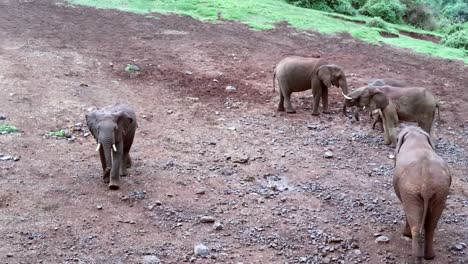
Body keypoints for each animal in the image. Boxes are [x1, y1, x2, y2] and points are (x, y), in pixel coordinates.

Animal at [394, 126, 452, 264]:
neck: (416, 135)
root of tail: (427, 186)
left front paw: (405, 234)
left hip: (411, 191)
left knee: (416, 225)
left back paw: (416, 255)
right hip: (440, 192)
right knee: (431, 225)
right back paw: (430, 257)